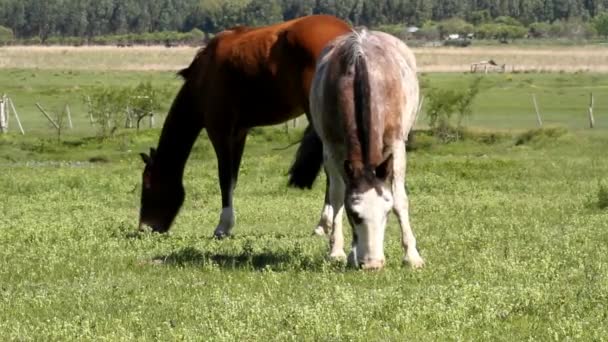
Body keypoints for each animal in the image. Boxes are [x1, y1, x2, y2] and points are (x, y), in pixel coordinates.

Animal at [136, 14, 350, 236]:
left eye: (148, 186)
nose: (144, 227)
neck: (202, 77)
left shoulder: (219, 130)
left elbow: (224, 177)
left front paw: (222, 226)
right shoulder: (239, 133)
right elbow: (233, 178)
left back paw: (324, 224)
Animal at [292, 28, 426, 270]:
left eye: (386, 212)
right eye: (355, 214)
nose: (372, 264)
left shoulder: (396, 145)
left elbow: (400, 199)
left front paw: (412, 256)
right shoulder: (333, 147)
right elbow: (337, 196)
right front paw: (338, 251)